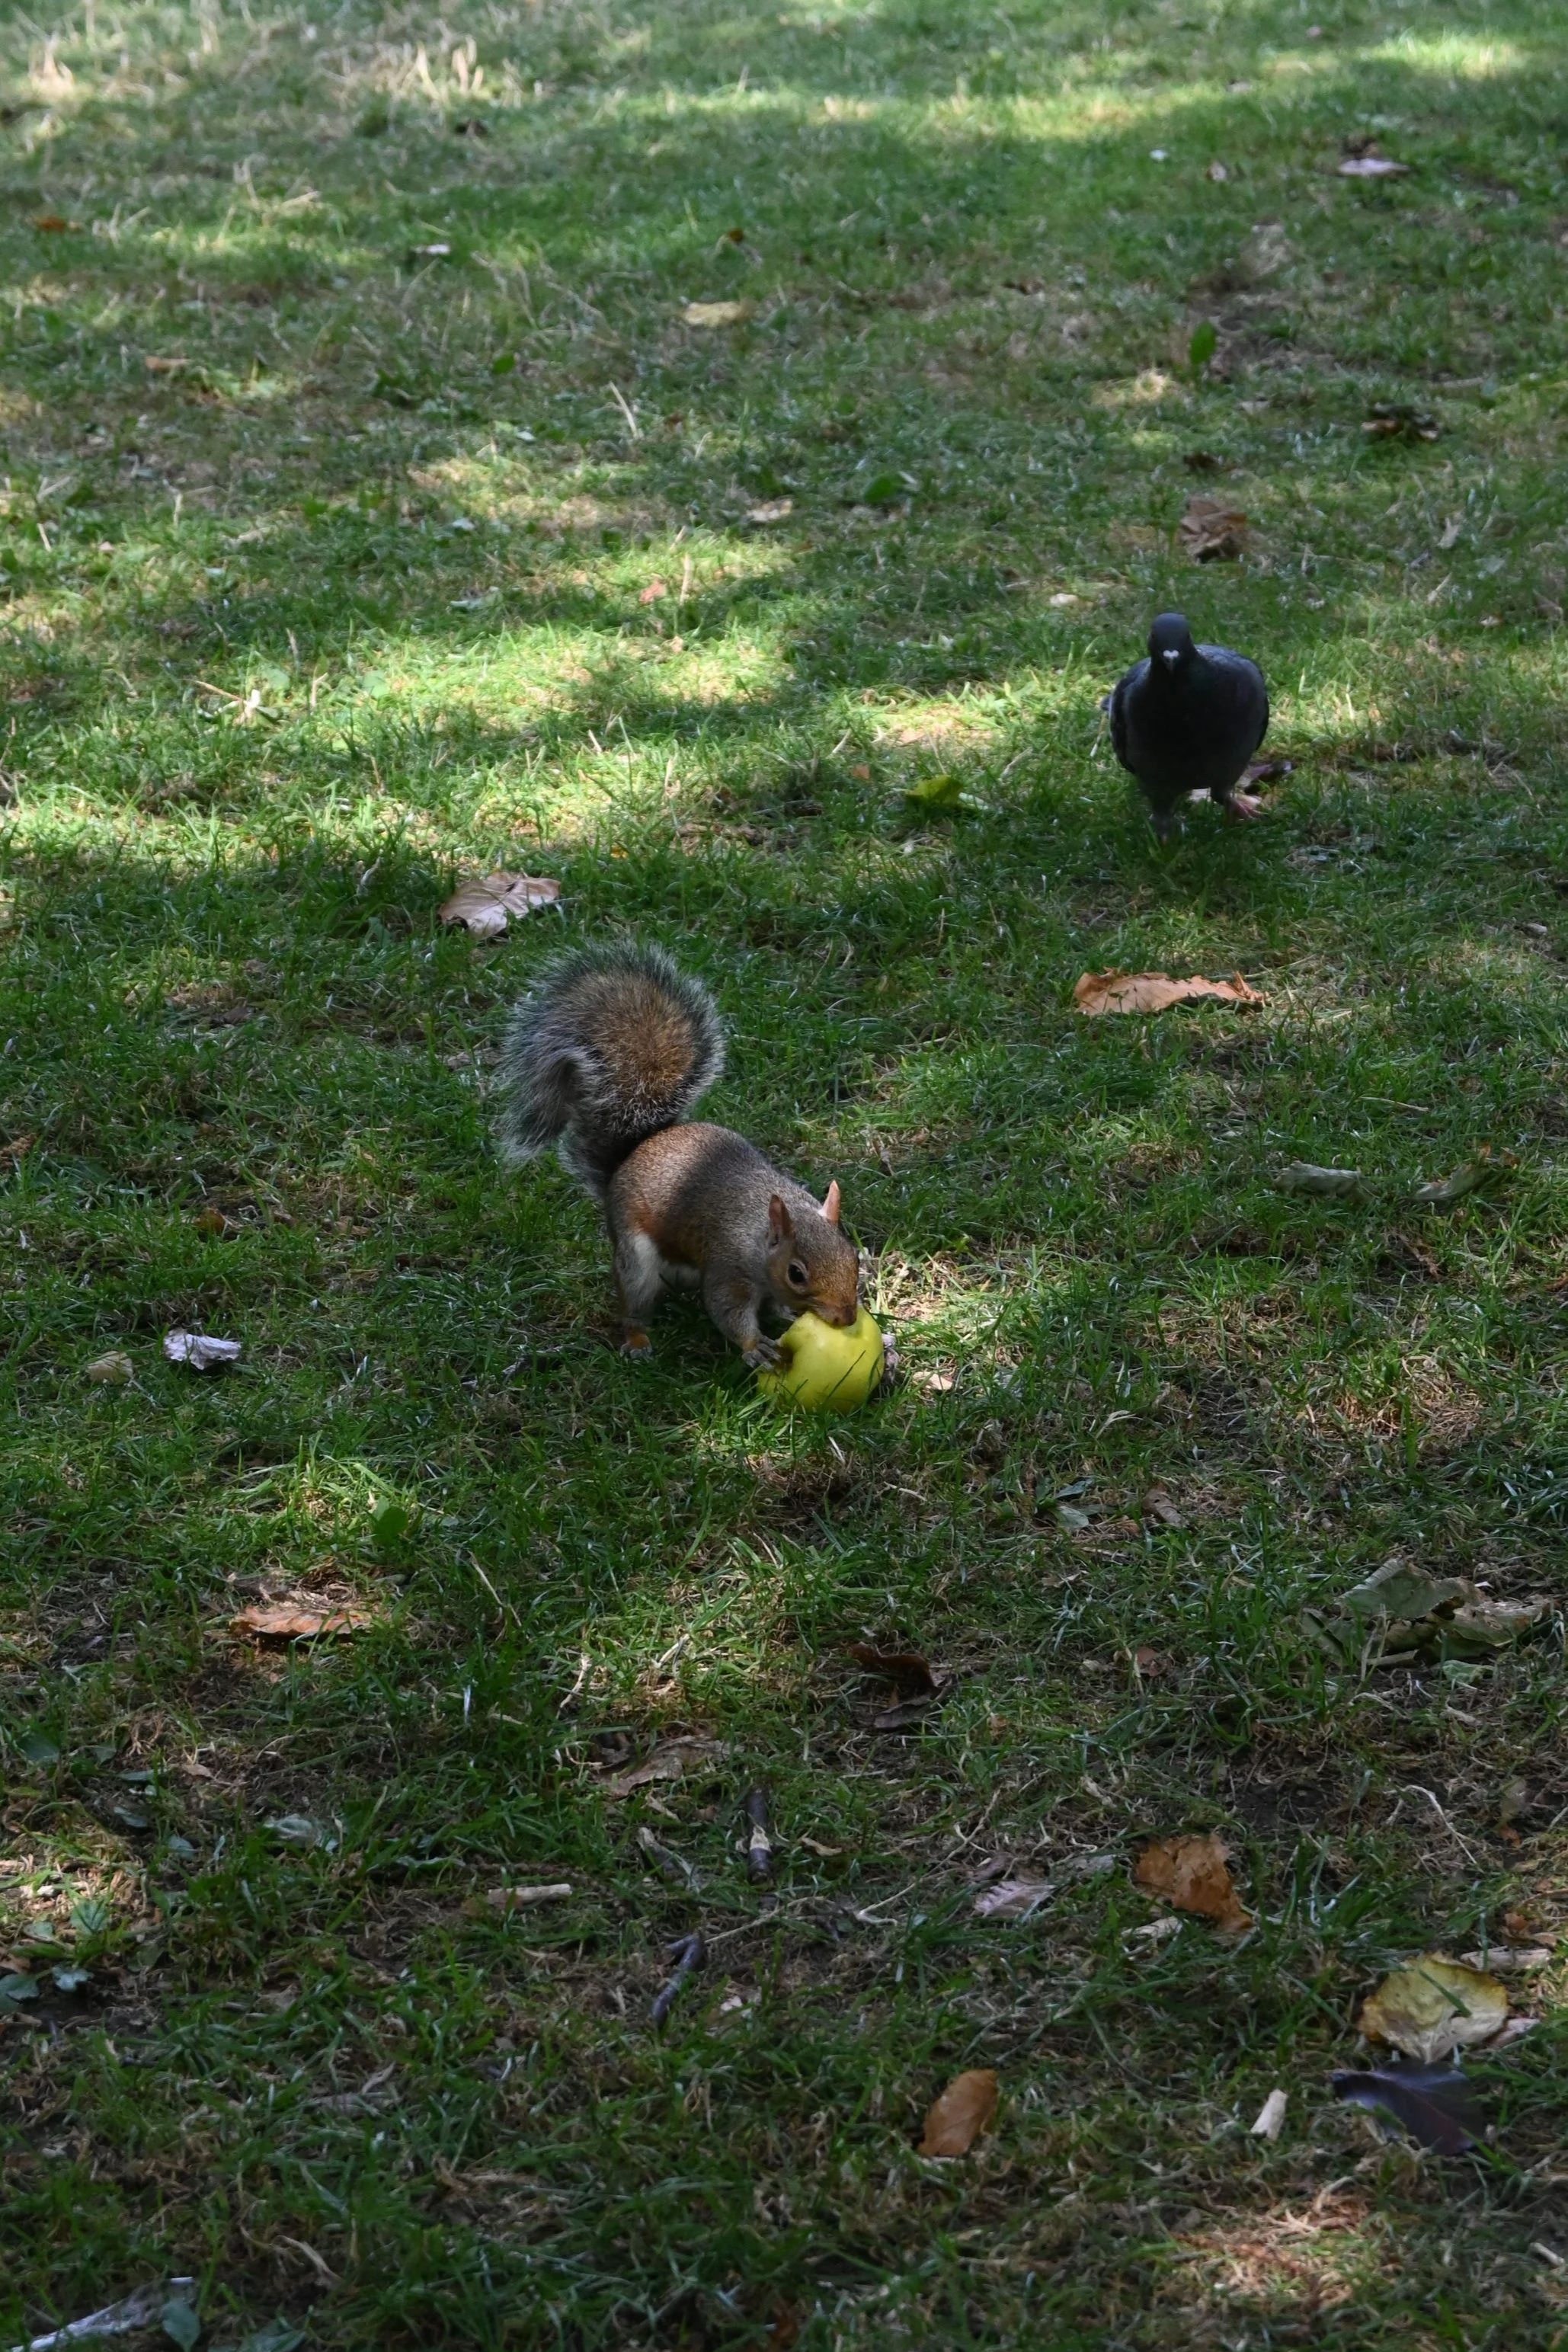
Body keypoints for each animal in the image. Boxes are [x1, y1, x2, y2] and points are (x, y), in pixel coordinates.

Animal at [498, 943, 861, 1365]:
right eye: (796, 1273)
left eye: (853, 1256)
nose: (847, 1317)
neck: (760, 1234)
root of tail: (630, 1157)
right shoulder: (727, 1265)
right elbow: (726, 1309)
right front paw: (755, 1347)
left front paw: (784, 1315)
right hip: (636, 1259)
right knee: (633, 1303)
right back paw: (638, 1340)